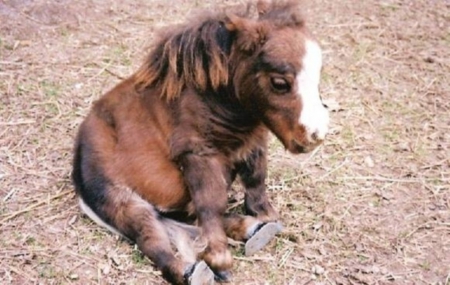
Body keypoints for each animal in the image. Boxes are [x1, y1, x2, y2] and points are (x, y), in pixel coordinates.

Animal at [72, 1, 328, 282]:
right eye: (280, 82)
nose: (315, 136)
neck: (210, 97)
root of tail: (77, 168)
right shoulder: (197, 155)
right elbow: (211, 202)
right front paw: (219, 259)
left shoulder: (252, 142)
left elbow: (256, 181)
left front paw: (268, 219)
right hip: (123, 202)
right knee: (152, 237)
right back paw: (193, 271)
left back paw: (251, 229)